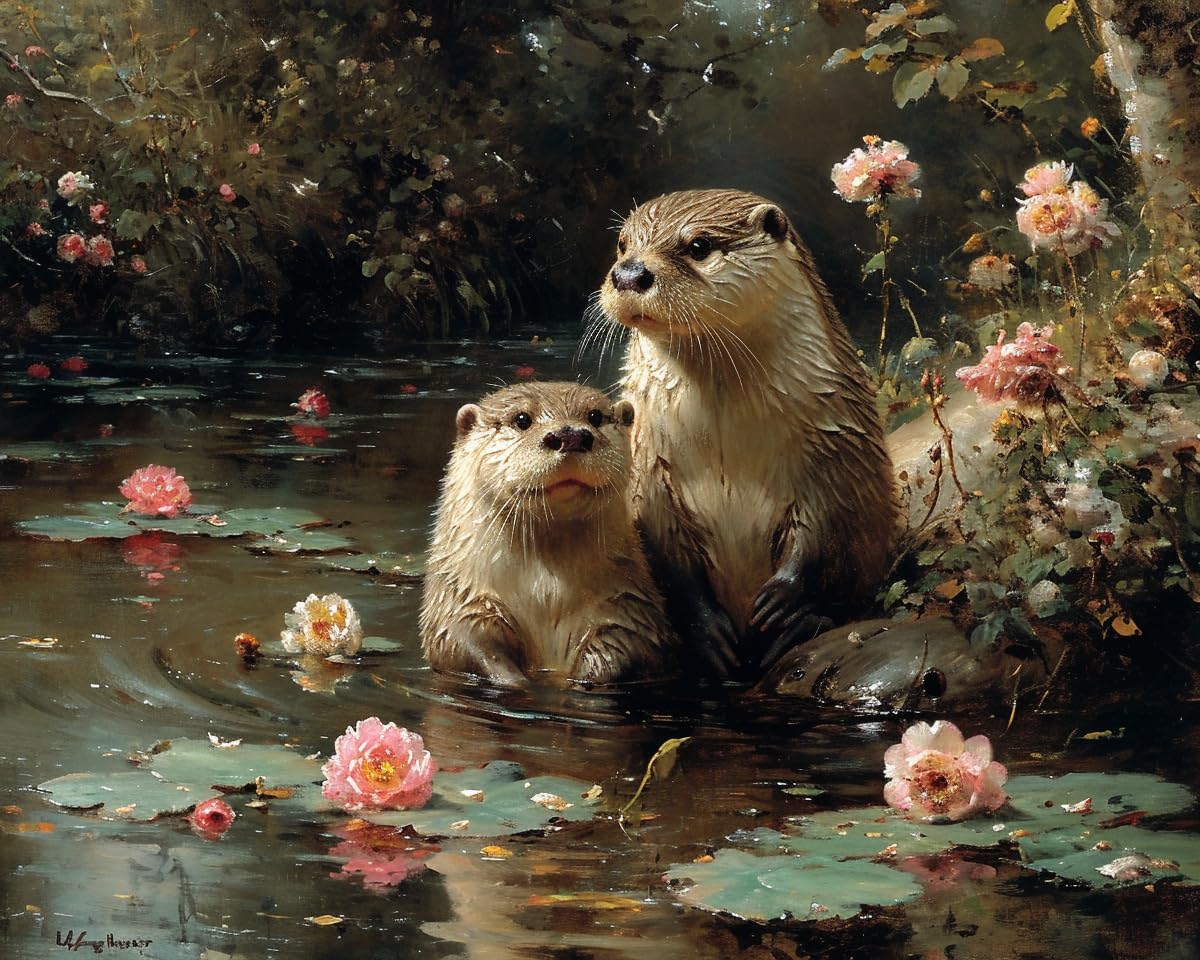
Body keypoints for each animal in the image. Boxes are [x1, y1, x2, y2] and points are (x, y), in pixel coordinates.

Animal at [420, 381, 678, 686]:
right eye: (522, 419)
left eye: (594, 416)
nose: (571, 435)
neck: (545, 595)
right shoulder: (462, 604)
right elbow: (467, 644)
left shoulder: (626, 605)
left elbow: (623, 644)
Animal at [594, 188, 900, 677]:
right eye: (622, 245)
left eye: (698, 246)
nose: (629, 273)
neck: (726, 443)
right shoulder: (648, 466)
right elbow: (665, 548)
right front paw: (707, 634)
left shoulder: (836, 445)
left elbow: (832, 529)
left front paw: (784, 602)